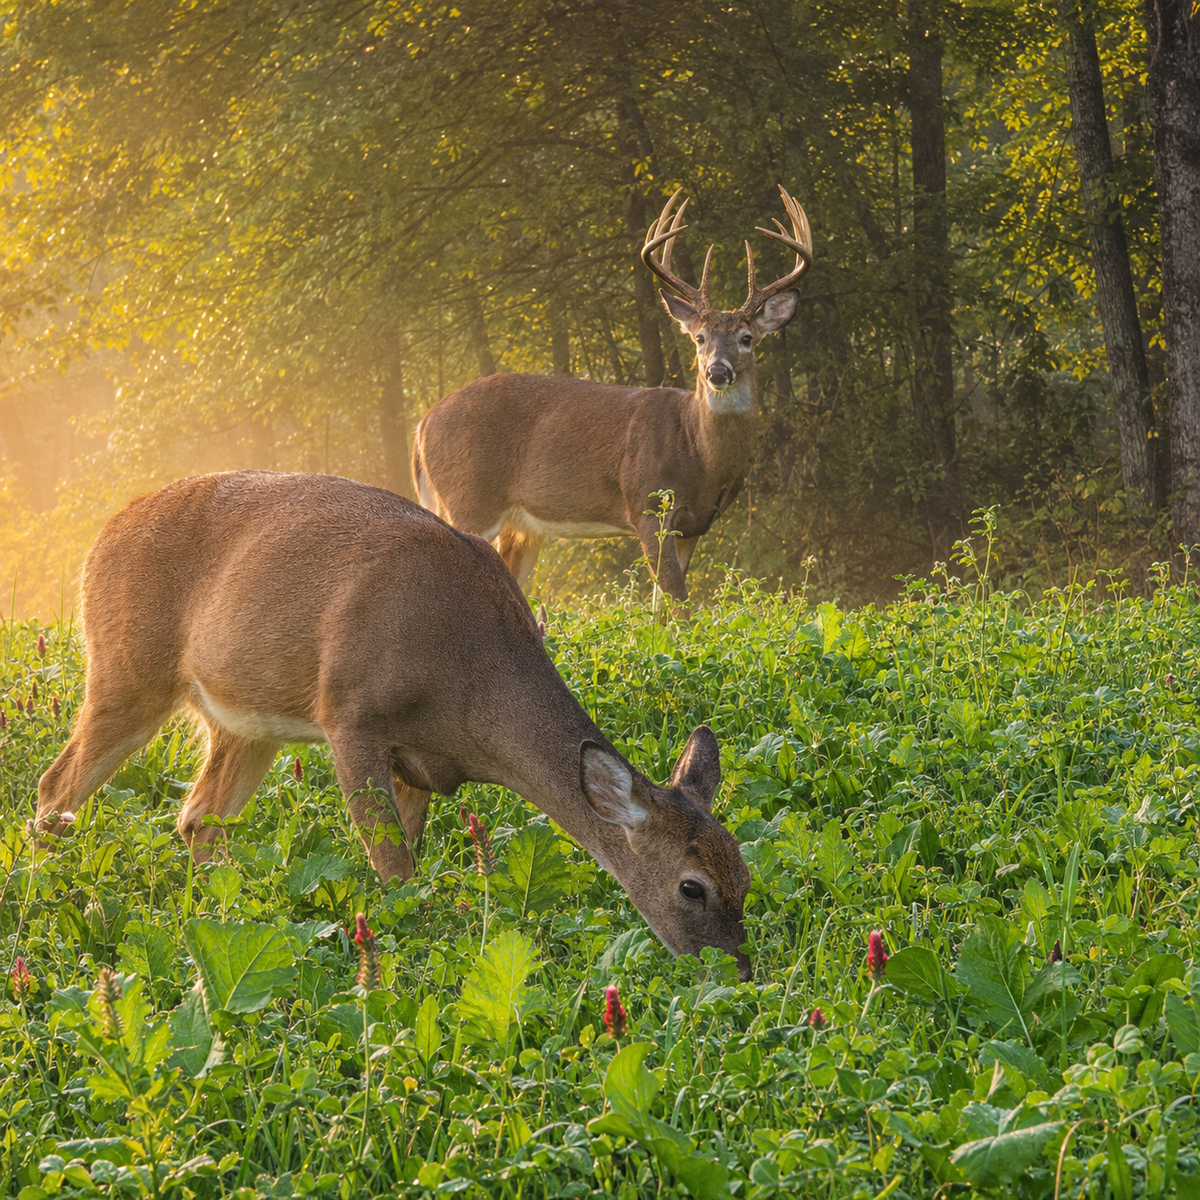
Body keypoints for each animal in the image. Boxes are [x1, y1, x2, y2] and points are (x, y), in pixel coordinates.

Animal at [32, 471, 753, 979]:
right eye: (693, 887)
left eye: (745, 878)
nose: (741, 973)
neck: (466, 682)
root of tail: (99, 538)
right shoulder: (349, 715)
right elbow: (393, 866)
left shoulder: (420, 767)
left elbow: (404, 867)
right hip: (126, 668)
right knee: (55, 788)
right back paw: (47, 898)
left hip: (244, 724)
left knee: (197, 816)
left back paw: (221, 914)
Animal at [411, 185, 812, 601]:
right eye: (699, 338)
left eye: (747, 338)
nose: (717, 371)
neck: (697, 450)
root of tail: (422, 425)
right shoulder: (647, 506)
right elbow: (679, 604)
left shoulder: (694, 527)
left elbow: (665, 605)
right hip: (471, 499)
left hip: (521, 527)